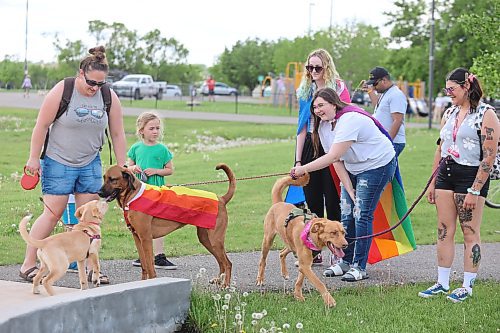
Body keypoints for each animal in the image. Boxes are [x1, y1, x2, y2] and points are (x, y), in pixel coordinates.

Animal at [99, 163, 236, 286]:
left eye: (112, 179)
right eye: (104, 178)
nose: (99, 192)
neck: (132, 195)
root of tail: (221, 199)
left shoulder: (146, 239)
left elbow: (150, 267)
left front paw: (152, 282)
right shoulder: (137, 239)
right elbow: (144, 266)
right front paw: (143, 283)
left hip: (215, 240)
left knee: (227, 263)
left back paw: (225, 285)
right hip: (206, 239)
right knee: (221, 262)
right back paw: (219, 280)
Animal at [258, 174, 348, 306]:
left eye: (343, 233)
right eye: (333, 233)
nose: (346, 245)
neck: (310, 234)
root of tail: (278, 203)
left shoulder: (305, 264)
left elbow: (299, 280)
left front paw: (298, 295)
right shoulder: (305, 265)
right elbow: (319, 283)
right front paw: (329, 301)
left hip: (290, 244)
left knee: (281, 253)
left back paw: (284, 273)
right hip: (268, 240)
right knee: (263, 261)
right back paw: (260, 279)